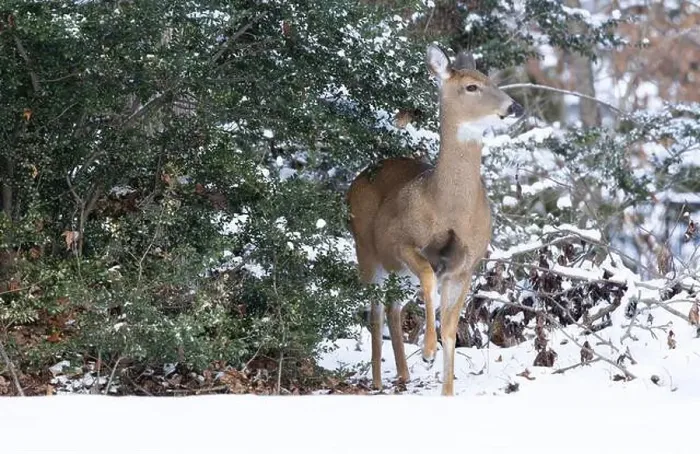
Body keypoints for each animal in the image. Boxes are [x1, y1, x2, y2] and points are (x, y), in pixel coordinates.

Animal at [346, 44, 523, 396]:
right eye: (471, 86)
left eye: (491, 79)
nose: (515, 107)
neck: (446, 204)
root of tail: (354, 182)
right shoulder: (401, 242)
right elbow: (429, 277)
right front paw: (427, 351)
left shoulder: (466, 264)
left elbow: (452, 330)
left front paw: (447, 390)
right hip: (367, 251)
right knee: (375, 310)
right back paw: (378, 381)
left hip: (398, 272)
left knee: (393, 308)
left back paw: (403, 375)